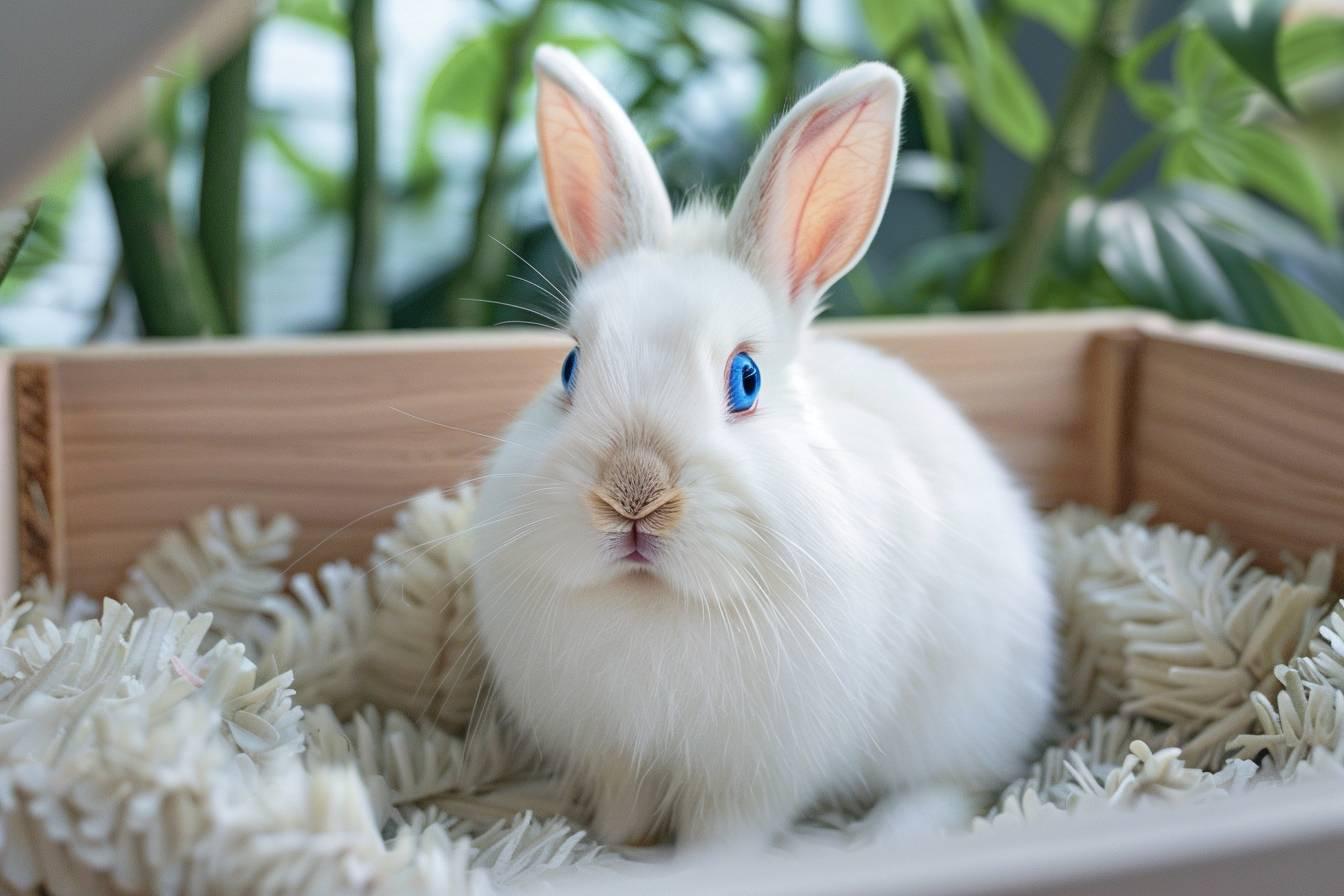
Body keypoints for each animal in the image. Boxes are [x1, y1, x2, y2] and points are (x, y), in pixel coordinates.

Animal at [473, 45, 1059, 854]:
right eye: (569, 368)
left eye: (745, 379)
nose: (633, 493)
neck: (655, 607)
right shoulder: (616, 753)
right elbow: (624, 806)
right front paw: (617, 847)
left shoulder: (758, 774)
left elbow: (729, 829)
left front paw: (705, 865)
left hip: (964, 714)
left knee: (955, 783)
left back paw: (886, 837)